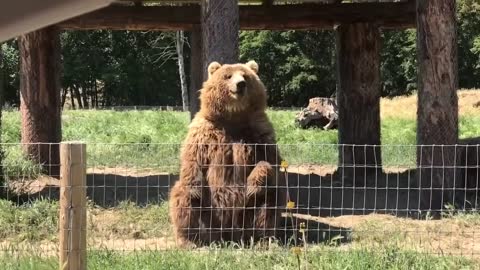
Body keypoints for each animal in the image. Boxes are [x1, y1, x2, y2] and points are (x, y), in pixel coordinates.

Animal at [171, 60, 286, 247]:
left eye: (245, 76)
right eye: (228, 76)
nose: (241, 84)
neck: (234, 118)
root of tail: (228, 235)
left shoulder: (260, 132)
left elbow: (270, 161)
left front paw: (254, 183)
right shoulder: (205, 131)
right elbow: (193, 159)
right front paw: (195, 189)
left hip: (246, 214)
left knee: (269, 200)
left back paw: (264, 240)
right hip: (209, 214)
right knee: (183, 198)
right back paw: (189, 240)